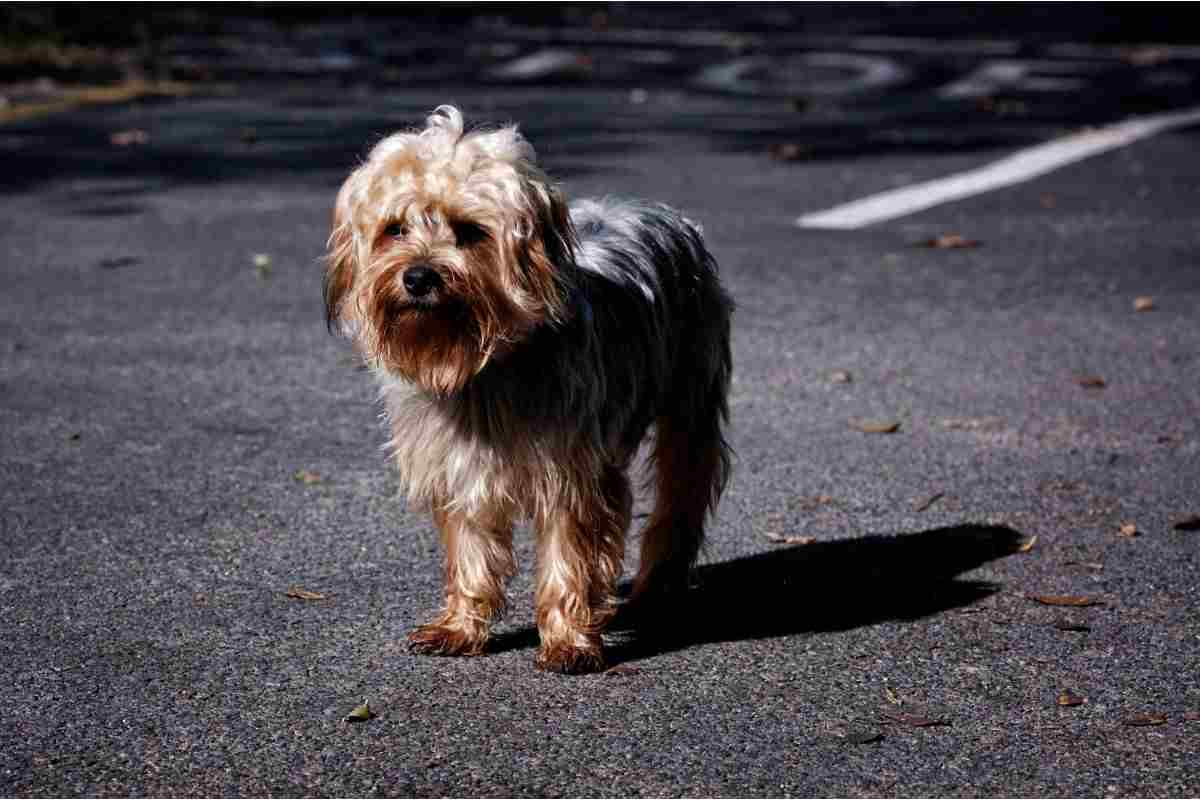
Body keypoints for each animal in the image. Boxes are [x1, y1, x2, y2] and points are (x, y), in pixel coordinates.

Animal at [324, 103, 729, 671]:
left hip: (690, 399)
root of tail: (667, 215)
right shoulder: (460, 464)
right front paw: (459, 627)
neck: (480, 368)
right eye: (395, 229)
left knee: (680, 495)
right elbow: (471, 549)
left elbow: (569, 553)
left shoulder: (569, 471)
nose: (419, 277)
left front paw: (569, 641)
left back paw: (656, 589)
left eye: (470, 231)